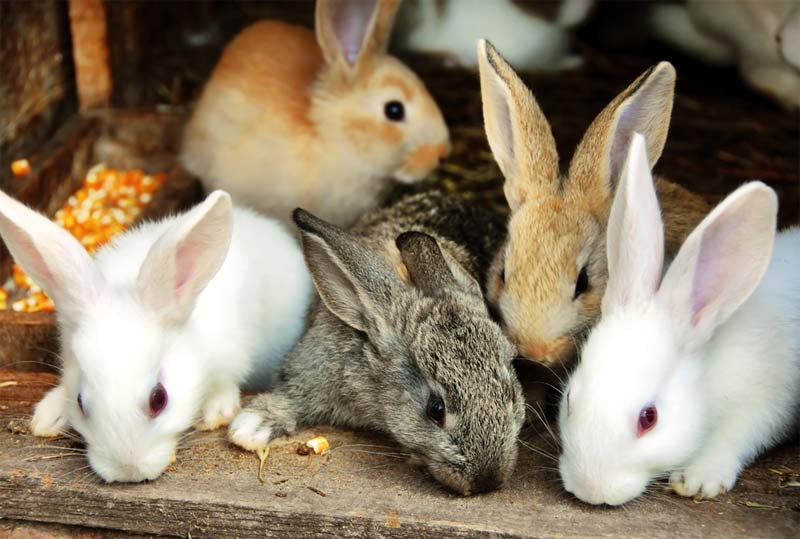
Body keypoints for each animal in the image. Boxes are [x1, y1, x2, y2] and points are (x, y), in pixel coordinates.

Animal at [556, 133, 800, 504]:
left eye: (649, 418)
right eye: (570, 398)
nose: (591, 491)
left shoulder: (765, 403)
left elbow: (736, 437)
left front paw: (699, 479)